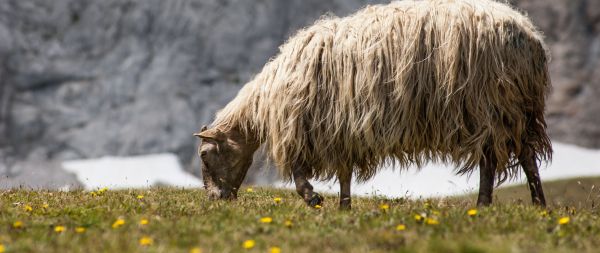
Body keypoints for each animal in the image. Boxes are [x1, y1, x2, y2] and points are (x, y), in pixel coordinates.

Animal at [195, 0, 552, 210]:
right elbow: (343, 173)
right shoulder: (339, 128)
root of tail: (532, 37)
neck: (268, 100)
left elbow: (298, 173)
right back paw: (524, 205)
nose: (216, 200)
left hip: (491, 103)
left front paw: (314, 199)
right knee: (518, 156)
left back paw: (495, 204)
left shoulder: (308, 126)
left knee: (500, 158)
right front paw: (344, 207)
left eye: (205, 155)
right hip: (510, 109)